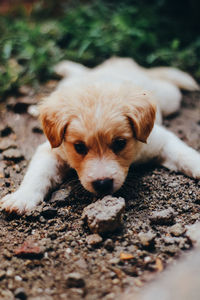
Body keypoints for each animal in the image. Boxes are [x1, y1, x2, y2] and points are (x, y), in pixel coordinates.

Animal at [0, 57, 200, 213]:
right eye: (79, 147)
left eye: (120, 143)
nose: (103, 184)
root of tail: (122, 61)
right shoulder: (52, 149)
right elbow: (38, 173)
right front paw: (22, 197)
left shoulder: (158, 140)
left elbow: (184, 154)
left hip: (170, 97)